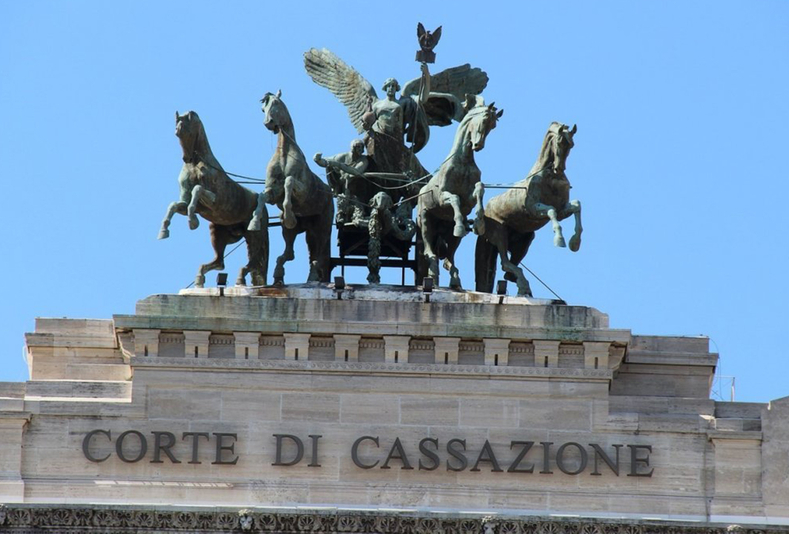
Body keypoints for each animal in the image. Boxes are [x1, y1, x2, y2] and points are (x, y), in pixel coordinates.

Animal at [258, 91, 334, 284]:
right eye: (263, 108)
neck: (284, 153)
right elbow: (263, 195)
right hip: (304, 231)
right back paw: (279, 273)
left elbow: (289, 181)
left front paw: (290, 216)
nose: (268, 123)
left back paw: (313, 275)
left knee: (318, 255)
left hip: (322, 227)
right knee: (290, 253)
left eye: (276, 103)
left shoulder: (303, 192)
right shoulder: (273, 193)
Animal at [416, 96, 502, 288]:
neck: (462, 162)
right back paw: (433, 271)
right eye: (484, 119)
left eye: (493, 126)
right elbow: (455, 198)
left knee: (449, 258)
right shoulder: (442, 198)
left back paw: (455, 278)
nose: (478, 145)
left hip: (447, 233)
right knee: (429, 251)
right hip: (425, 221)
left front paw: (479, 223)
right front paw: (462, 225)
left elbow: (479, 189)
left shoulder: (468, 201)